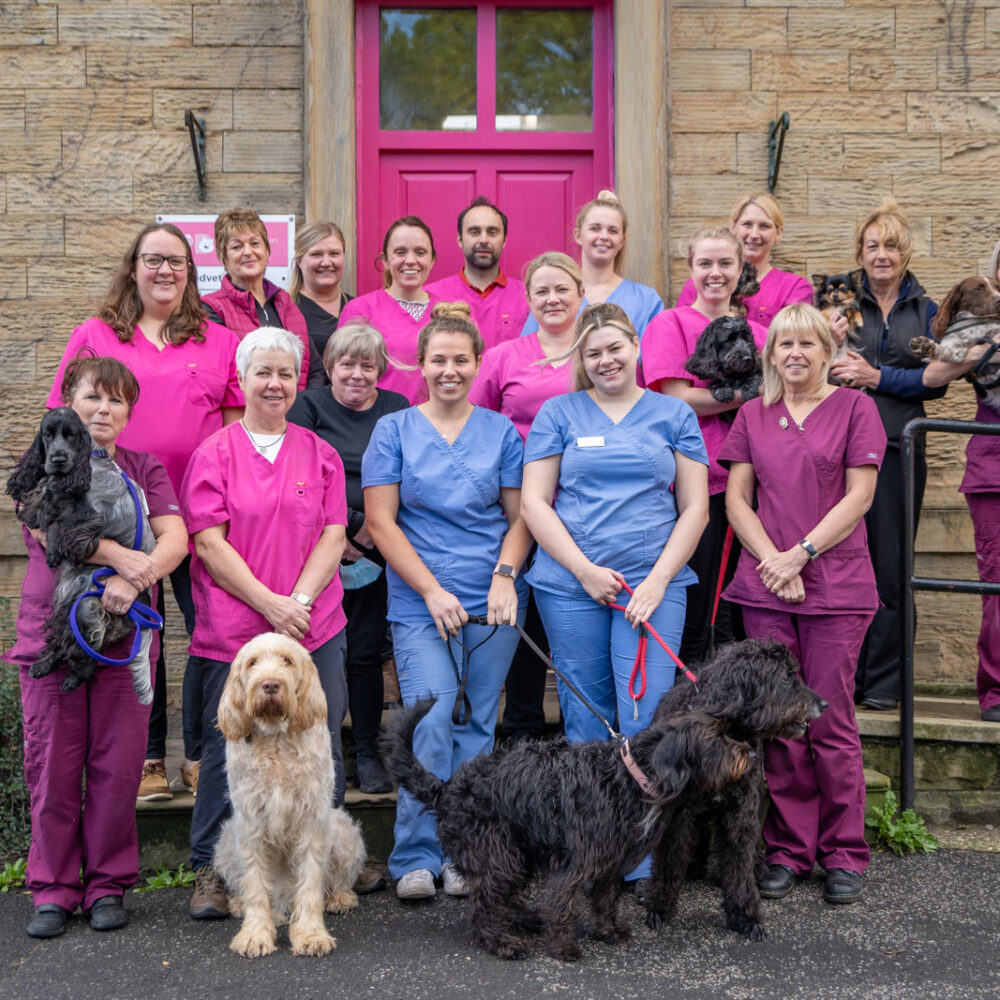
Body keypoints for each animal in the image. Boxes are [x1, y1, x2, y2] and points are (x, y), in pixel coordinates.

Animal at [6, 404, 156, 696]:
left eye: (71, 435)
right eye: (48, 435)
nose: (57, 459)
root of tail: (140, 607)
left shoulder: (87, 519)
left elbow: (60, 522)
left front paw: (53, 552)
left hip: (85, 606)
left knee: (85, 651)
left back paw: (73, 678)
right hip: (68, 601)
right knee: (62, 636)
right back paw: (42, 666)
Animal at [213, 636, 366, 956]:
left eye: (287, 660)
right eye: (253, 662)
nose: (270, 684)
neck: (276, 740)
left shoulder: (311, 820)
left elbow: (309, 883)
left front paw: (310, 934)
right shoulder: (251, 822)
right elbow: (255, 883)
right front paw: (255, 933)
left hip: (343, 830)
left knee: (337, 880)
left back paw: (339, 897)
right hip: (227, 839)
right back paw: (243, 904)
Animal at [378, 696, 752, 960]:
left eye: (728, 732)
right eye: (714, 739)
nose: (749, 753)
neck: (633, 777)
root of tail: (445, 789)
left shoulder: (611, 861)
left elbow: (605, 900)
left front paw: (607, 931)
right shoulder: (577, 863)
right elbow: (563, 905)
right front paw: (563, 948)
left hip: (518, 851)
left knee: (501, 896)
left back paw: (527, 919)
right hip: (500, 852)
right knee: (484, 901)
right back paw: (502, 942)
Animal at [644, 640, 824, 936]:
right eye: (786, 678)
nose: (824, 703)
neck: (729, 730)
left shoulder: (741, 812)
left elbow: (739, 866)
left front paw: (746, 916)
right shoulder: (679, 814)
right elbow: (668, 861)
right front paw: (659, 907)